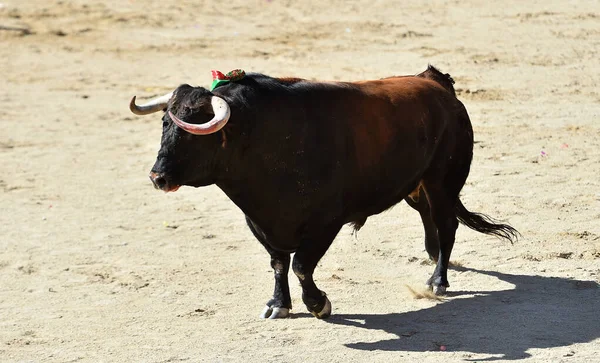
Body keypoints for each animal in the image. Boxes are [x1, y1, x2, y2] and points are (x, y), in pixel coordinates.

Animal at [129, 65, 516, 318]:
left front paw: (318, 304)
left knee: (447, 224)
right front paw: (278, 305)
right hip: (417, 184)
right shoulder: (259, 220)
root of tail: (435, 83)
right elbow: (278, 262)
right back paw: (433, 257)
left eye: (194, 131)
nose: (157, 177)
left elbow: (301, 265)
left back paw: (438, 279)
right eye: (165, 123)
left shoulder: (324, 223)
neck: (263, 137)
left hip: (442, 181)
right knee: (428, 219)